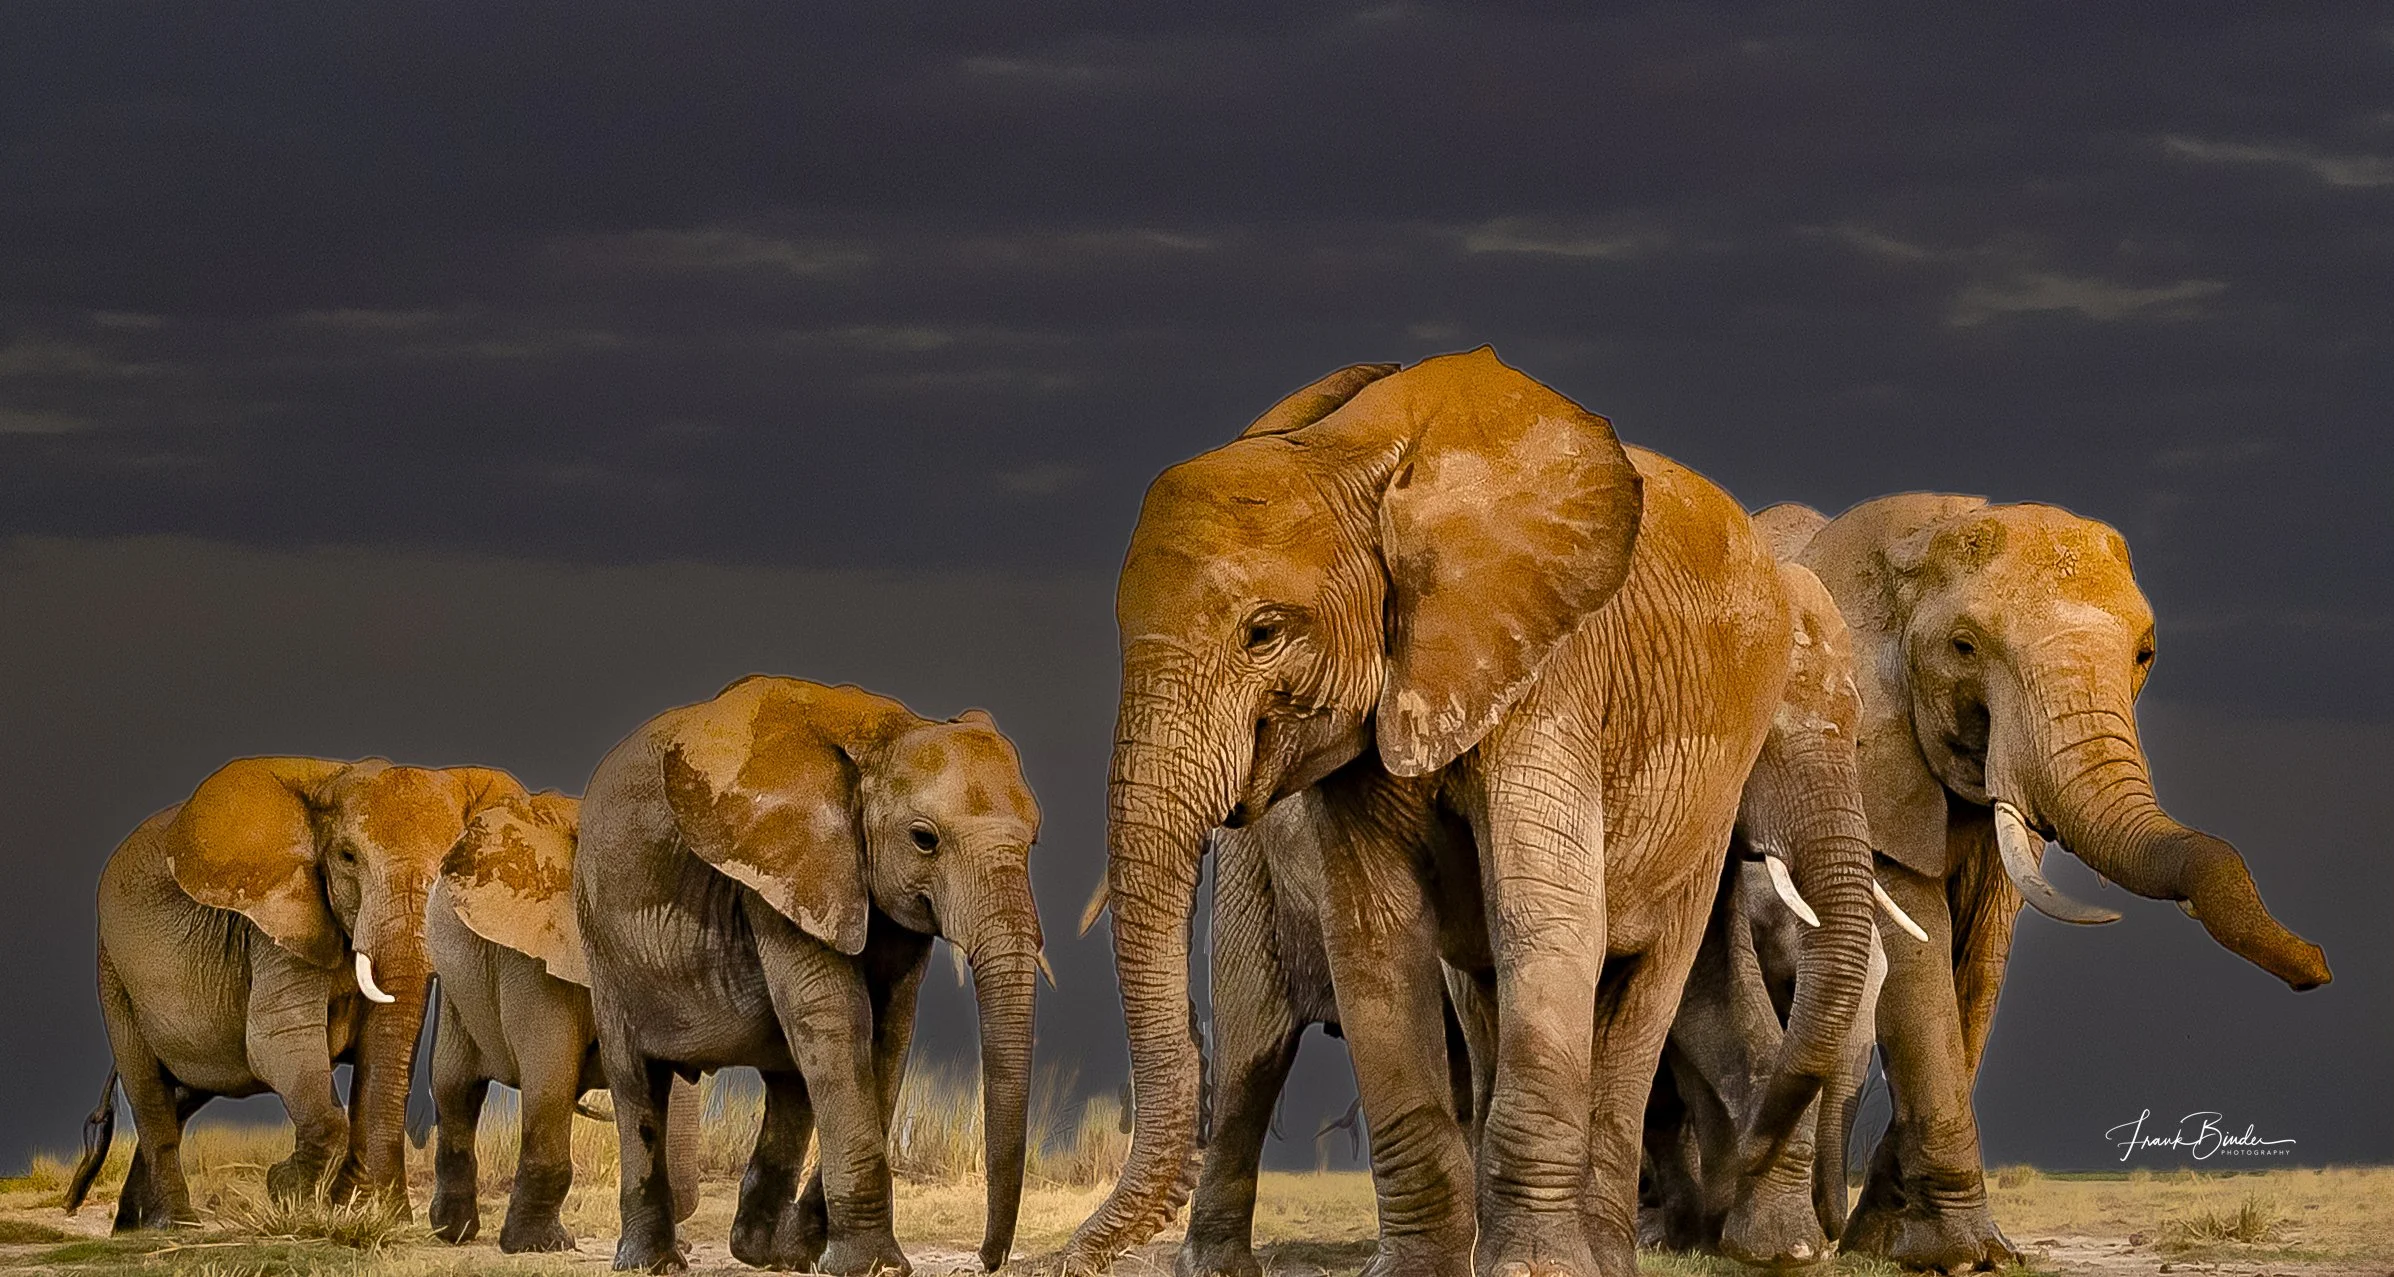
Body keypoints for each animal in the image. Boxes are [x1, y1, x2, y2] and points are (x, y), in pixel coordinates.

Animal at [63, 757, 527, 1229]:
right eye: (347, 857)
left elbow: (383, 1050)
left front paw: (370, 1211)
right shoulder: (275, 923)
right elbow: (279, 1041)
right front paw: (287, 1191)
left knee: (184, 1093)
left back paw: (132, 1226)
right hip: (113, 973)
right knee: (150, 1093)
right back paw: (176, 1223)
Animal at [423, 788, 702, 1251]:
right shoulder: (531, 954)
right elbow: (550, 1077)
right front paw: (540, 1245)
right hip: (454, 984)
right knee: (455, 1088)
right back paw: (454, 1233)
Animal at [576, 676, 1048, 1275]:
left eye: (1033, 841)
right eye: (924, 839)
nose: (987, 1259)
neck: (884, 734)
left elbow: (887, 1034)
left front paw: (819, 1251)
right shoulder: (779, 871)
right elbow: (839, 1020)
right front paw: (870, 1266)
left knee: (790, 1081)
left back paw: (766, 1253)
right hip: (601, 935)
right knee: (637, 1078)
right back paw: (653, 1262)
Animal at [1061, 348, 1796, 1277]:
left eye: (1263, 633)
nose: (1061, 1259)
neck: (1351, 457)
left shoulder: (1551, 669)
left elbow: (1547, 917)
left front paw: (1534, 1271)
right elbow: (1377, 939)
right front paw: (1416, 1269)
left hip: (1716, 791)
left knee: (1644, 987)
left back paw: (1604, 1259)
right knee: (1278, 1040)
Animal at [1776, 494, 2333, 1269]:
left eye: (2144, 654)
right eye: (1964, 647)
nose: (2317, 969)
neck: (1923, 534)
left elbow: (1980, 962)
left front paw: (1901, 1247)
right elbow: (1914, 943)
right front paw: (1965, 1256)